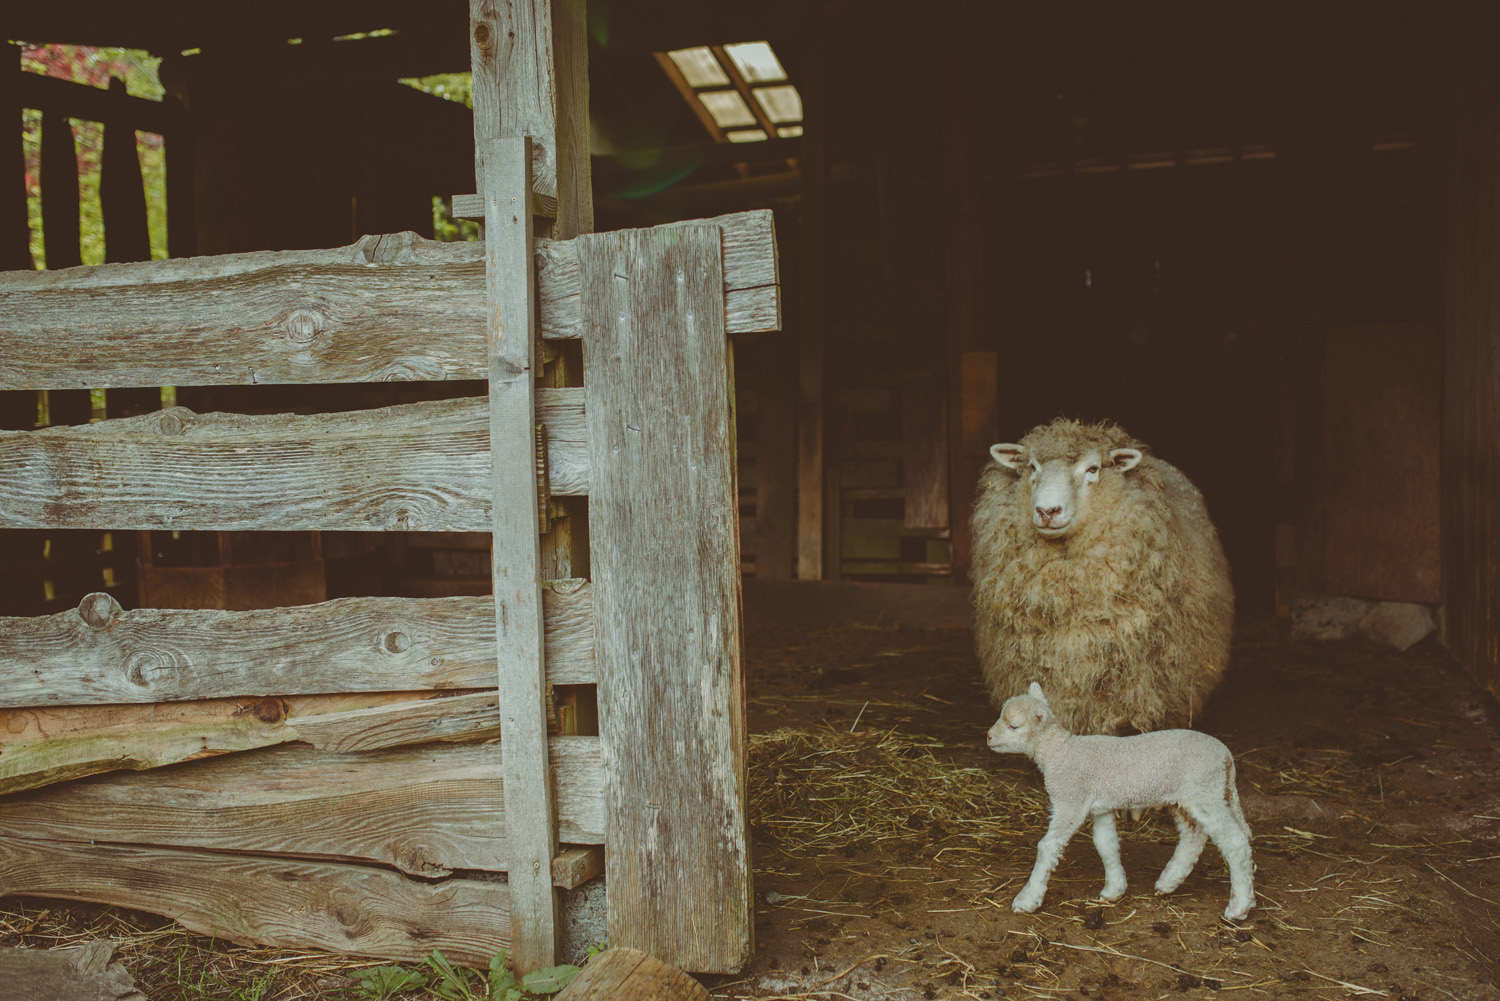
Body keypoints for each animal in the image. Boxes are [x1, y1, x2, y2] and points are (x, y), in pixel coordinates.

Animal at [984, 684, 1254, 918]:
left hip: (1205, 791)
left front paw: (1027, 899)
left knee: (1234, 841)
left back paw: (1239, 907)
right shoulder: (1102, 807)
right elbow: (1105, 844)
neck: (1059, 753)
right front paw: (1114, 890)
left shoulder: (1071, 801)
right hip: (1185, 797)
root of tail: (1226, 756)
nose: (988, 737)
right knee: (1193, 836)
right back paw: (1168, 882)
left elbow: (1047, 847)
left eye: (1013, 726)